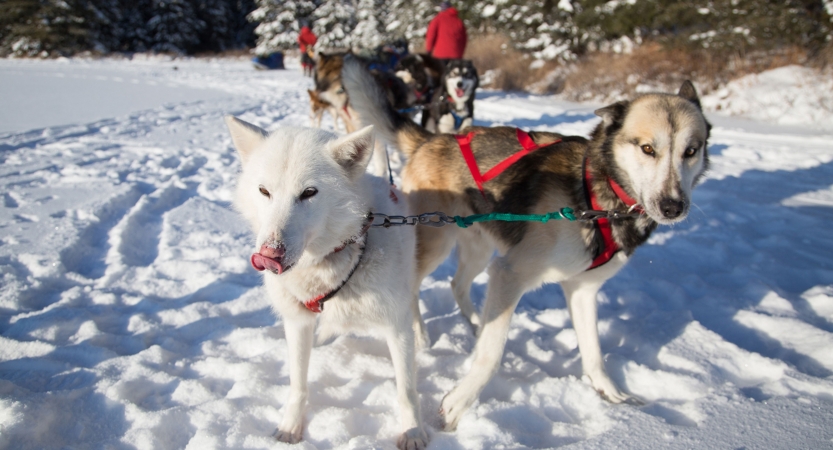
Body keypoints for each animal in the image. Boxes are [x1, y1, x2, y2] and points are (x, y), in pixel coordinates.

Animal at [224, 117, 426, 450]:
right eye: (264, 191)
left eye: (309, 192)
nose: (268, 254)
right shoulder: (297, 322)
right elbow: (298, 383)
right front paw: (291, 426)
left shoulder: (396, 327)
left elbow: (406, 390)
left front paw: (412, 431)